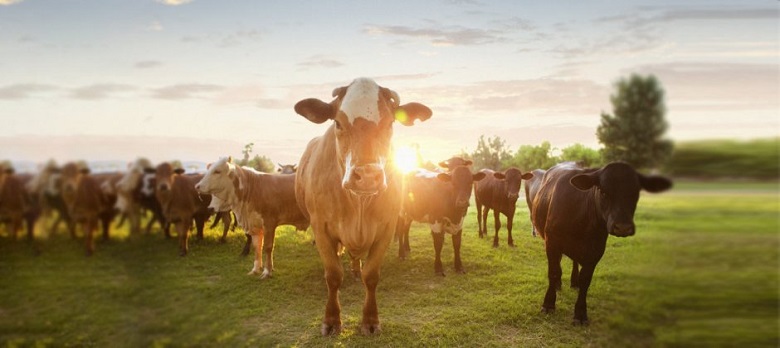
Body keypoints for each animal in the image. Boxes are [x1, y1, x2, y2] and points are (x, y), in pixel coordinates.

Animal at [296, 78, 436, 334]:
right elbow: (333, 275)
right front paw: (331, 319)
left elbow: (371, 276)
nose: (368, 176)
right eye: (338, 123)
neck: (358, 205)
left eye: (390, 123)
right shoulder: (320, 228)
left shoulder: (387, 228)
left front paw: (370, 320)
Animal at [532, 162, 672, 324]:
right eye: (603, 192)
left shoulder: (596, 250)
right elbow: (554, 272)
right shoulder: (552, 242)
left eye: (635, 193)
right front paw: (548, 304)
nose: (623, 227)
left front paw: (580, 313)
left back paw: (574, 282)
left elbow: (585, 280)